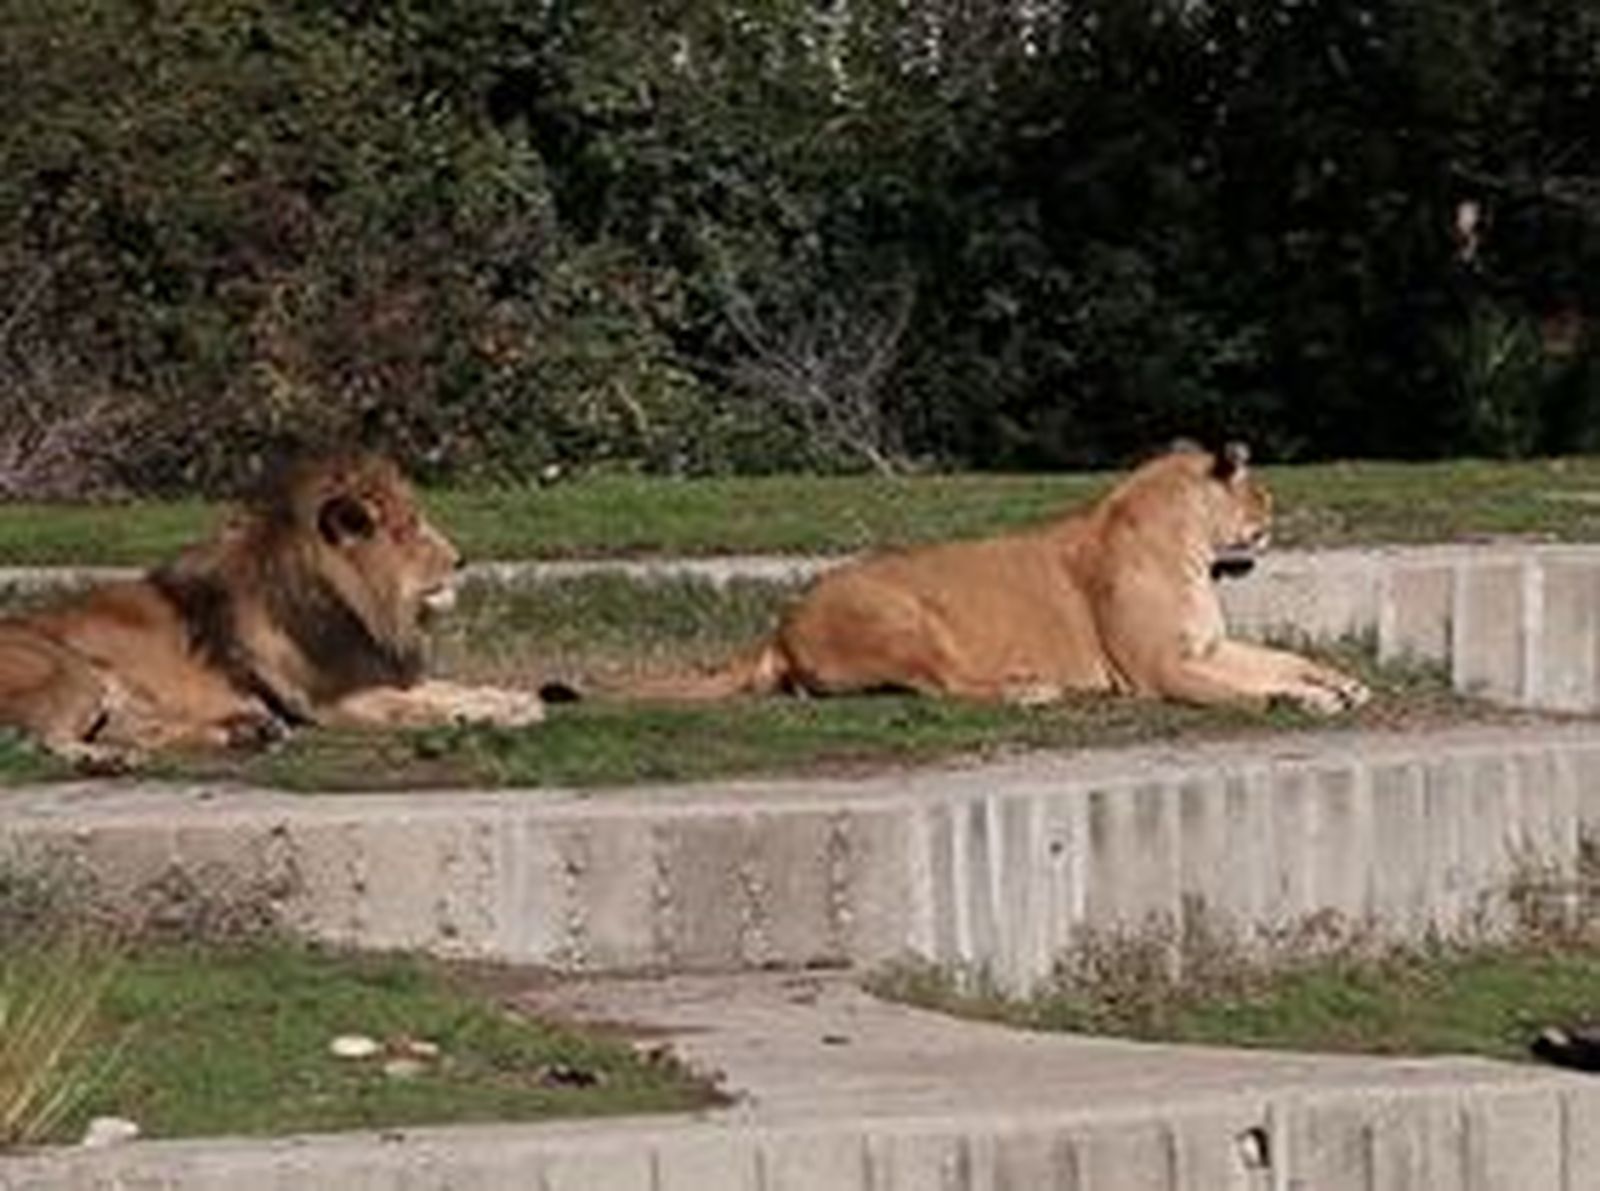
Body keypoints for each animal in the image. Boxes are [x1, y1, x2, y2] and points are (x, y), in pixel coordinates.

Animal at [0, 453, 545, 766]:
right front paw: (511, 713)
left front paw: (517, 699)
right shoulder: (334, 700)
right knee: (42, 739)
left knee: (141, 732)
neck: (359, 607)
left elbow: (459, 690)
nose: (461, 560)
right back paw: (103, 759)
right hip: (71, 673)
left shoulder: (379, 675)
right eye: (409, 528)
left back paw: (246, 732)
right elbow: (429, 707)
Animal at [629, 442, 1370, 714]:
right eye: (1262, 491)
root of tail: (779, 627)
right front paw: (1300, 701)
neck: (1190, 550)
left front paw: (1340, 682)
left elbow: (1281, 657)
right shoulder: (1157, 669)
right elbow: (1245, 691)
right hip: (905, 617)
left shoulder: (1204, 647)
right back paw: (1030, 689)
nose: (1274, 514)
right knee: (940, 685)